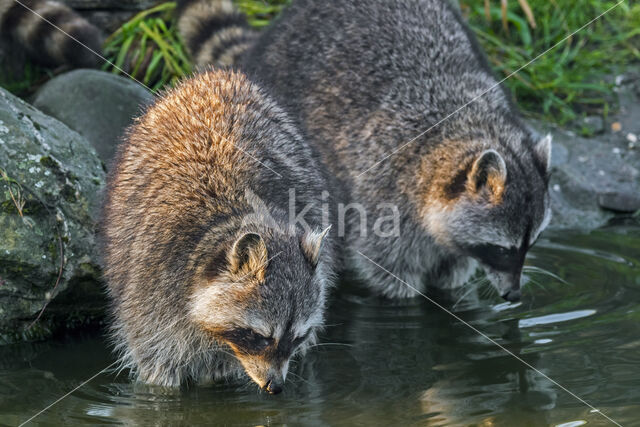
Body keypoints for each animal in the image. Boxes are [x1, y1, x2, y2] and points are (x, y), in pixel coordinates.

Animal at [101, 68, 336, 392]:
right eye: (260, 337)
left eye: (296, 337)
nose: (275, 387)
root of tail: (217, 76)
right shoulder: (154, 285)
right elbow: (158, 359)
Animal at [234, 0, 552, 300]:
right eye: (502, 250)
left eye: (531, 244)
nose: (513, 295)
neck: (470, 123)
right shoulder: (386, 195)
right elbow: (389, 269)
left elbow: (454, 265)